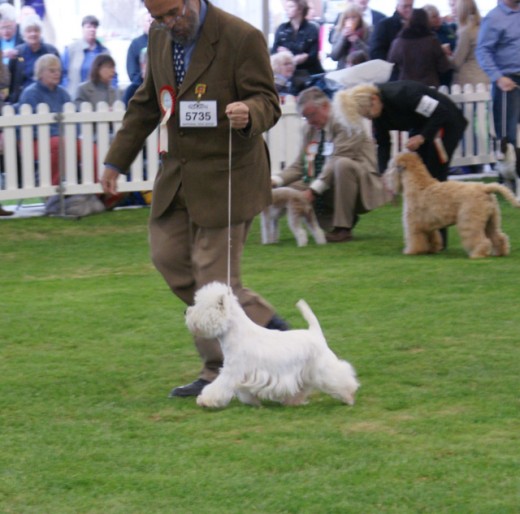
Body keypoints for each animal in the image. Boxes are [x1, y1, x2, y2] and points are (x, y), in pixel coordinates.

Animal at [382, 151, 520, 256]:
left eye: (392, 166)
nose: (385, 175)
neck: (418, 184)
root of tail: (485, 188)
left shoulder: (413, 224)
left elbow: (414, 239)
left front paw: (410, 251)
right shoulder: (429, 225)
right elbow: (433, 237)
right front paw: (432, 249)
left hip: (470, 222)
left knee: (481, 240)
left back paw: (477, 254)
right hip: (491, 222)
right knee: (499, 237)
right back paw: (500, 252)